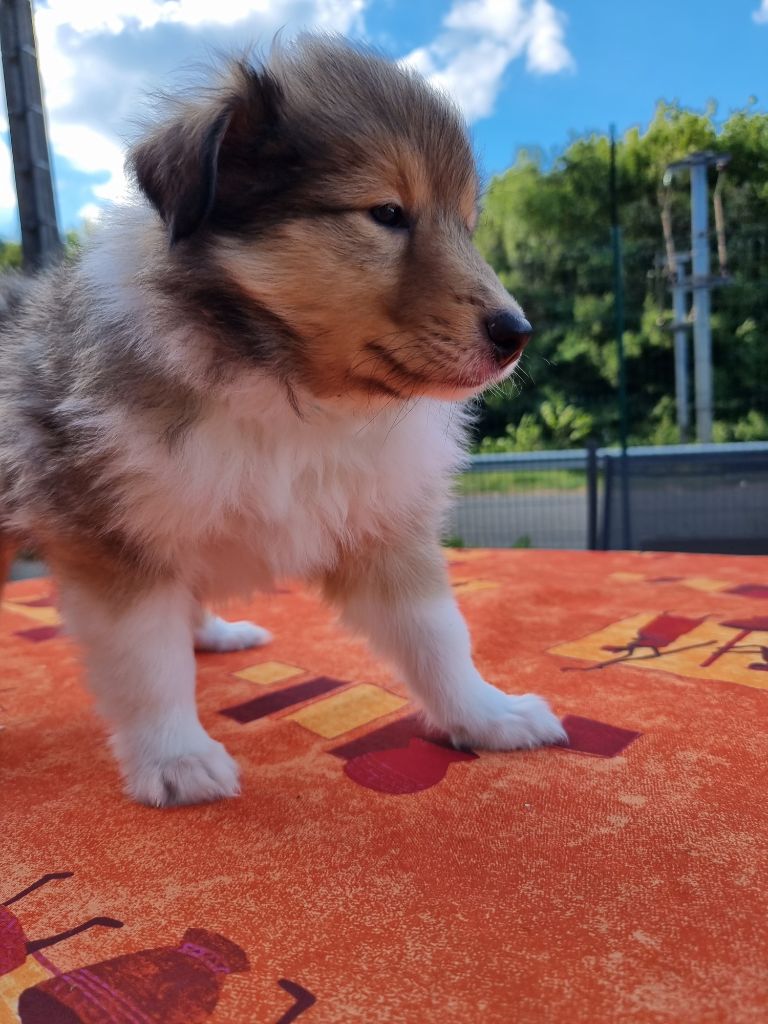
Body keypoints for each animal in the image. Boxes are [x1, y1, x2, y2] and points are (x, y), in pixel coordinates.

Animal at [0, 36, 566, 806]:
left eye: (468, 225)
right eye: (387, 212)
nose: (518, 334)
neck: (287, 385)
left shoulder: (381, 526)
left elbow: (439, 636)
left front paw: (488, 716)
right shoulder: (118, 537)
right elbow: (148, 666)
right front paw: (176, 760)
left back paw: (215, 633)